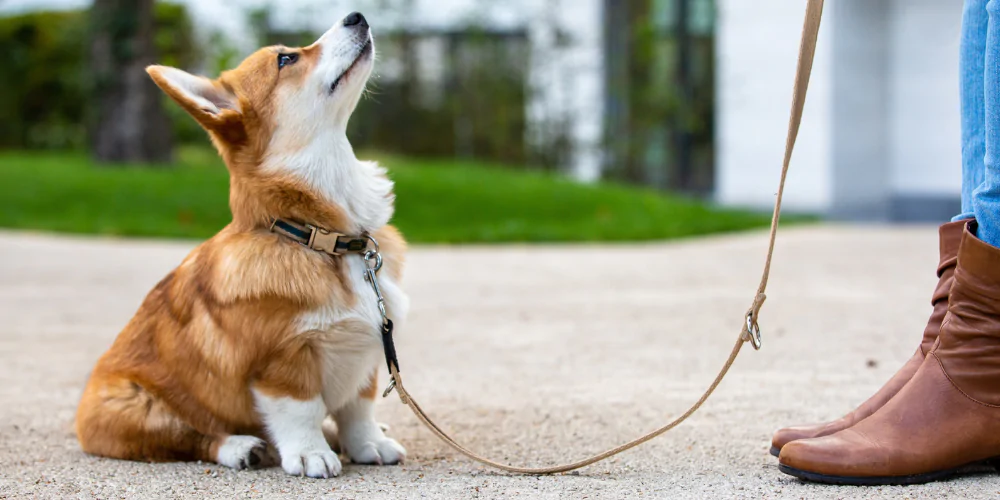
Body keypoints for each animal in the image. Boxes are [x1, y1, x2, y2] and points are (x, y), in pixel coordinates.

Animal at [73, 12, 410, 480]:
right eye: (286, 59)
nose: (356, 16)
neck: (319, 236)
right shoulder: (280, 361)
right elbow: (301, 409)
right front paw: (310, 452)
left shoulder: (367, 353)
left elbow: (357, 409)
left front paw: (368, 443)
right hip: (132, 408)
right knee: (193, 436)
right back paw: (242, 448)